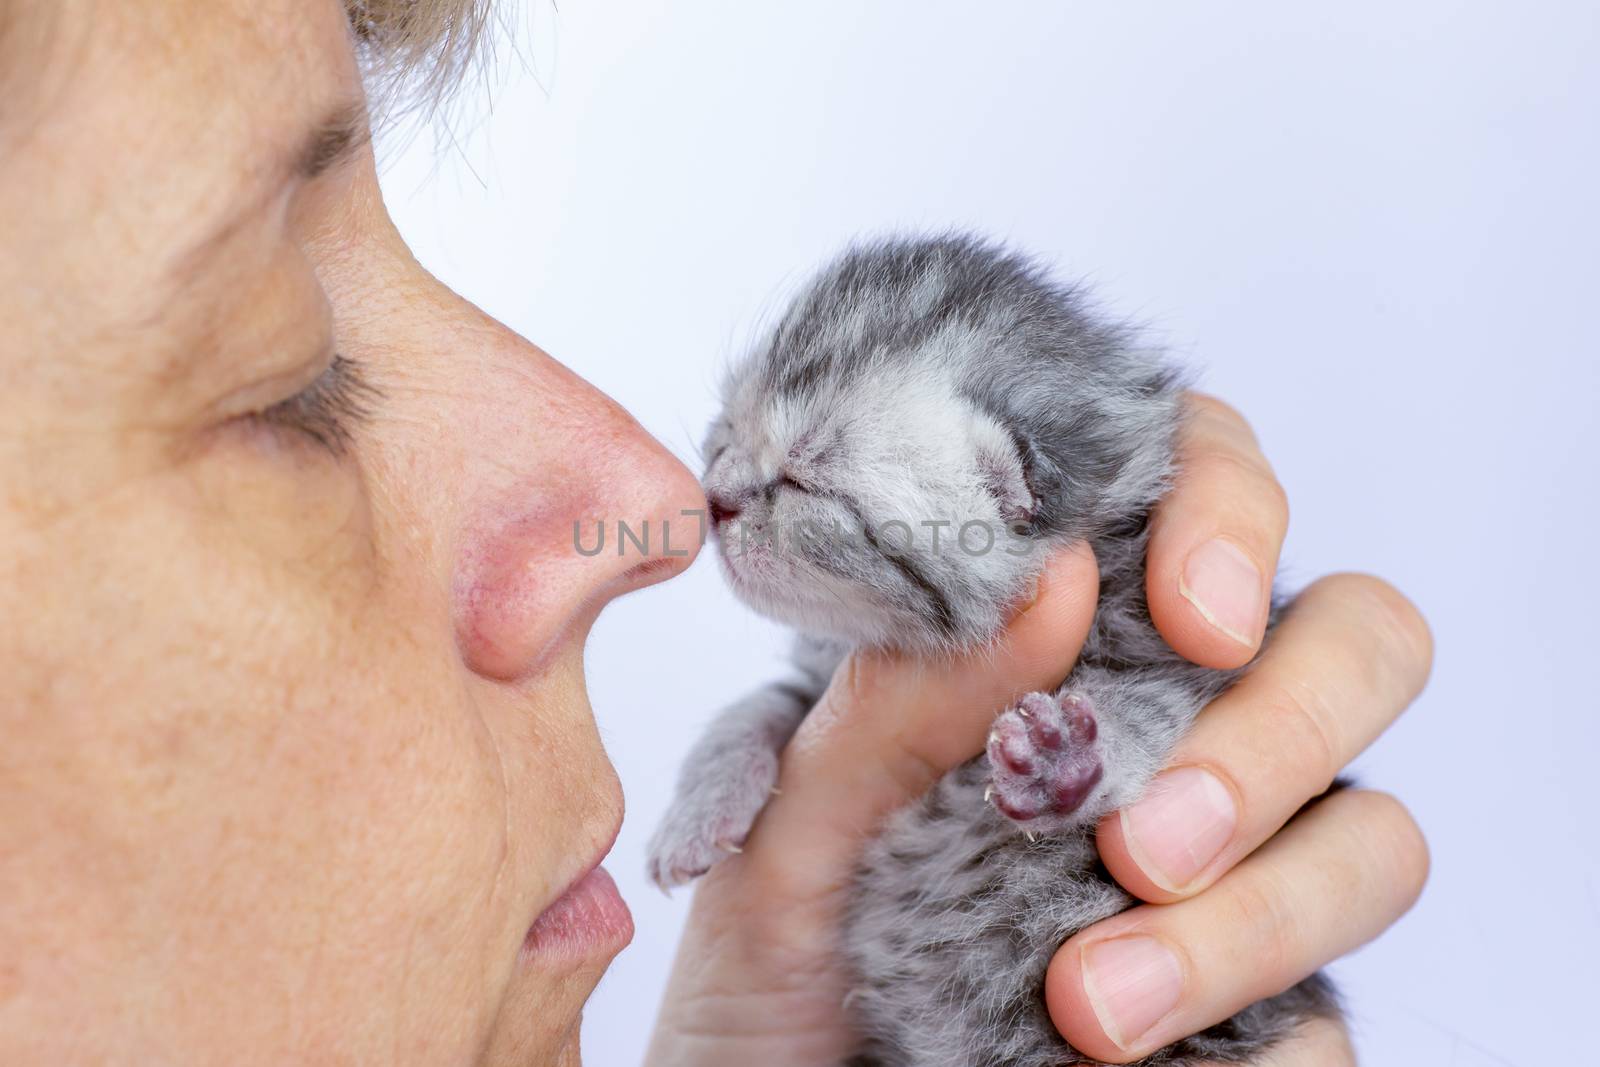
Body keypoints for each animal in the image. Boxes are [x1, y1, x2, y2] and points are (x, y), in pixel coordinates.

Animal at [646, 235, 1337, 1067]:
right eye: (726, 432)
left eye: (805, 483)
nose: (712, 498)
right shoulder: (815, 681)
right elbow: (758, 704)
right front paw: (700, 807)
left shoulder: (1190, 656)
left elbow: (1147, 703)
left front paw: (1067, 761)